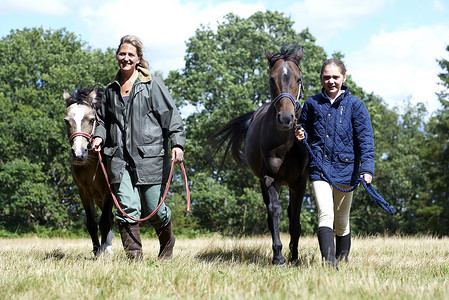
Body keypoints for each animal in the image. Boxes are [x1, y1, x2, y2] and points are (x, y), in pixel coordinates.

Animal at [63, 86, 114, 255]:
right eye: (66, 121)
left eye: (91, 120)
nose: (79, 154)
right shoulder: (84, 193)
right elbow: (92, 224)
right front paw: (97, 251)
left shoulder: (109, 192)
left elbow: (104, 221)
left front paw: (102, 252)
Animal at [212, 42, 306, 264]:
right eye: (272, 79)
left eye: (298, 79)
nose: (286, 119)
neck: (286, 143)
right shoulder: (269, 178)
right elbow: (274, 211)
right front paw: (278, 256)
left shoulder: (299, 182)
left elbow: (295, 217)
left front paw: (294, 257)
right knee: (272, 212)